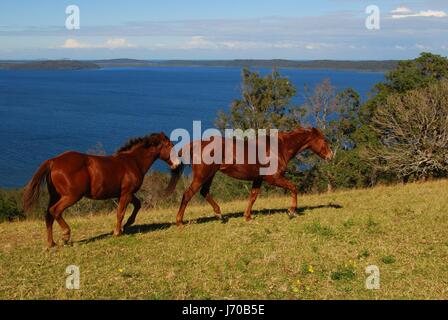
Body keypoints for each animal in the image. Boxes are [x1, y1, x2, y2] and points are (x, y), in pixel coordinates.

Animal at [23, 132, 179, 248]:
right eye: (170, 146)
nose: (177, 164)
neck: (133, 162)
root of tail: (54, 161)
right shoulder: (126, 193)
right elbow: (120, 213)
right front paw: (117, 231)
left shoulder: (126, 193)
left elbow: (137, 205)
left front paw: (127, 224)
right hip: (71, 196)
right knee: (54, 211)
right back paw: (65, 235)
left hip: (55, 195)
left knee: (48, 215)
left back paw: (51, 243)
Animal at [168, 127, 332, 225]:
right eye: (324, 140)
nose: (331, 156)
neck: (279, 148)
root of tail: (195, 145)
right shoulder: (273, 178)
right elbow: (293, 187)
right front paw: (292, 211)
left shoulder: (258, 179)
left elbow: (253, 196)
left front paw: (247, 216)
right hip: (202, 175)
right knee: (188, 194)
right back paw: (179, 222)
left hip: (210, 175)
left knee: (204, 192)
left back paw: (220, 214)